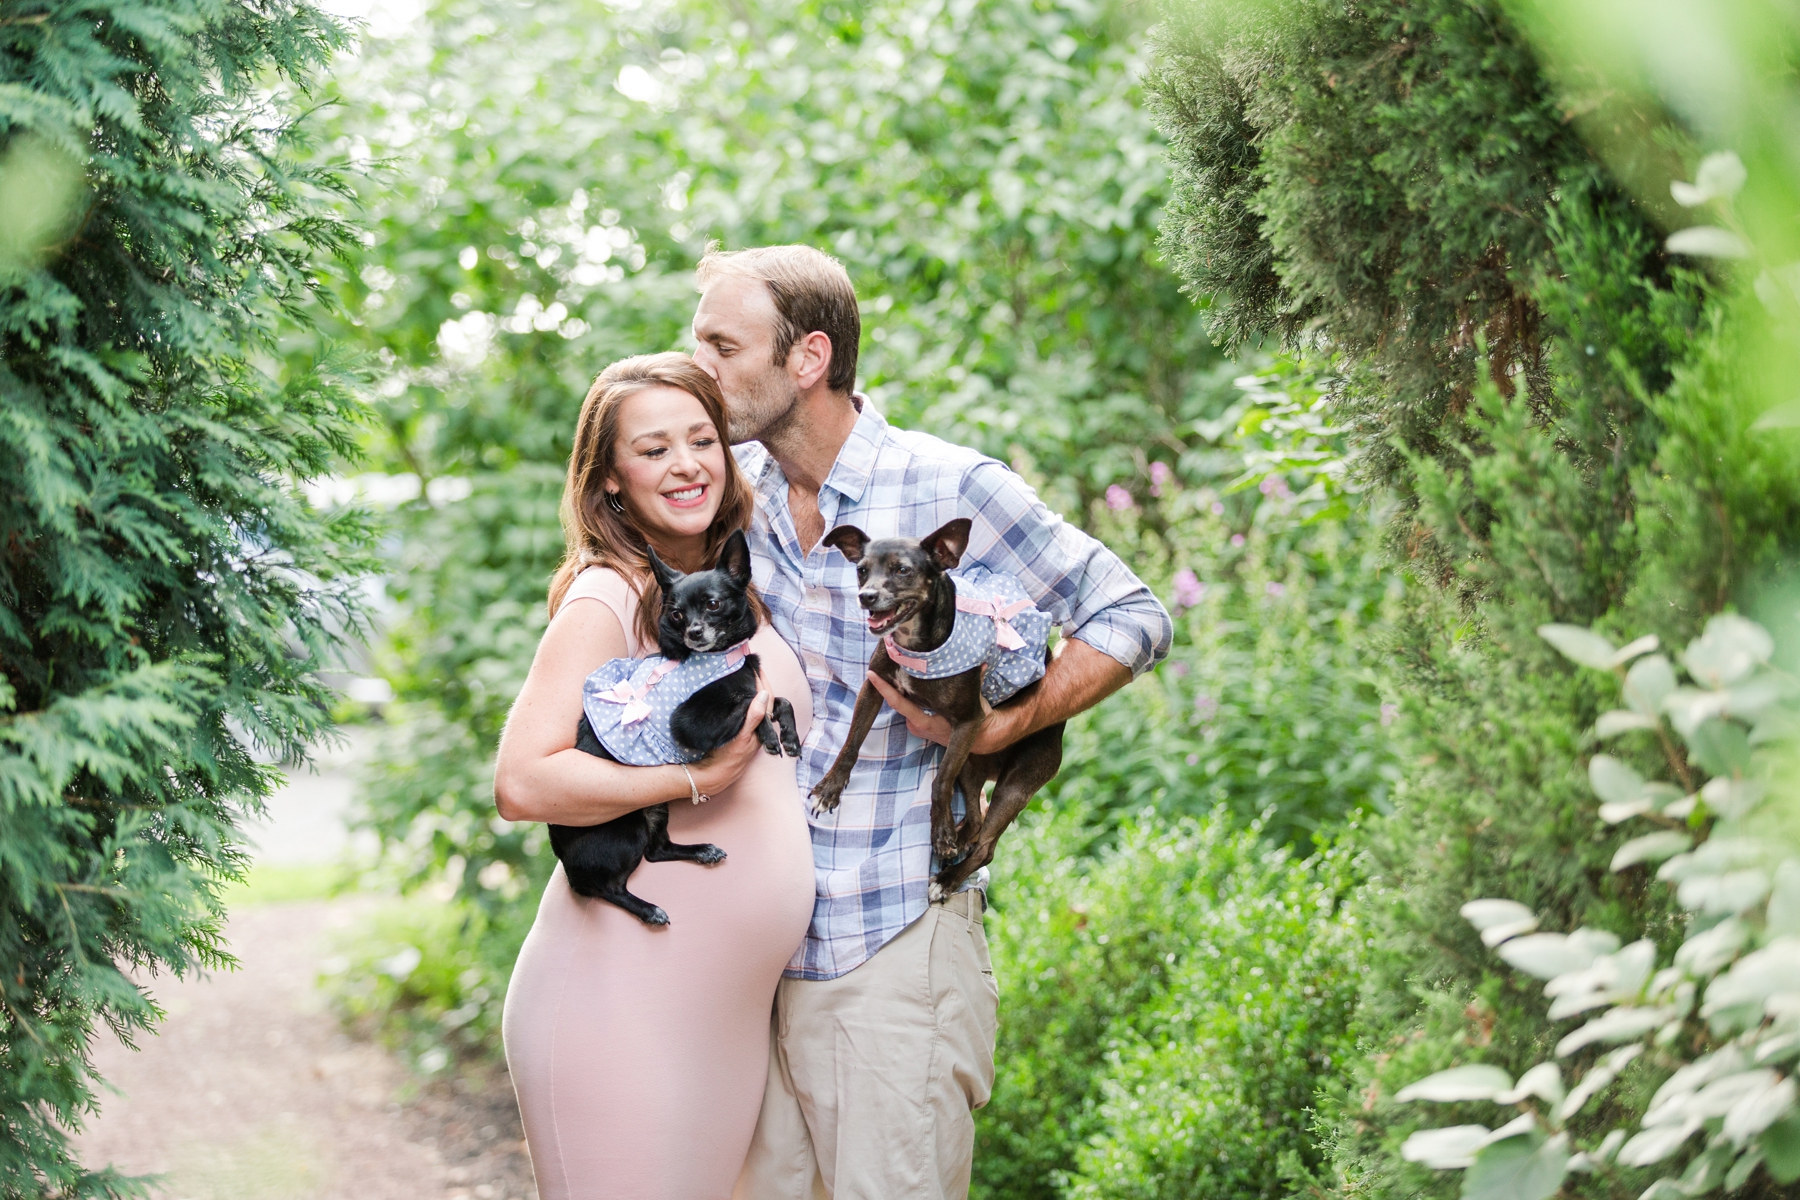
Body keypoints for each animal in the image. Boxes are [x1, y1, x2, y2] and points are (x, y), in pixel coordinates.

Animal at [806, 518, 1065, 899]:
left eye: (903, 570)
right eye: (861, 570)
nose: (866, 596)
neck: (917, 645)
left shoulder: (969, 723)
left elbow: (939, 781)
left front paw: (940, 833)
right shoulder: (873, 689)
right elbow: (851, 744)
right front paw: (829, 789)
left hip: (1013, 785)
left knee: (986, 846)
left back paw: (948, 878)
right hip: (970, 767)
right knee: (976, 821)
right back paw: (959, 841)